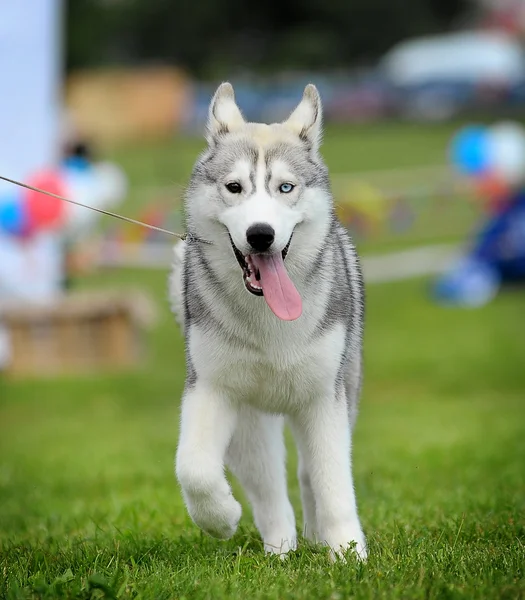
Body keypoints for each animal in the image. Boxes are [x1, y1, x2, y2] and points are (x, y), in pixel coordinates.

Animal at [170, 82, 366, 560]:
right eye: (234, 187)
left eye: (286, 187)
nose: (261, 235)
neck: (270, 320)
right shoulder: (210, 388)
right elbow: (194, 469)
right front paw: (221, 518)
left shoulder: (325, 397)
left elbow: (332, 480)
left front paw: (348, 552)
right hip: (252, 419)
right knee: (269, 485)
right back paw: (281, 545)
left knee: (308, 474)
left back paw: (314, 536)